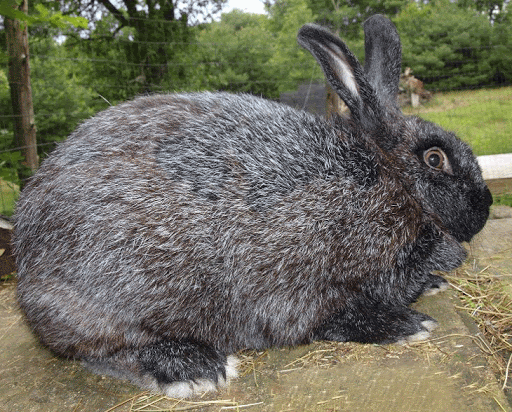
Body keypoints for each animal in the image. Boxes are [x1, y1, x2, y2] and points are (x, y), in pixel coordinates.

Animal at [12, 14, 492, 398]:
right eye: (435, 159)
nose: (485, 206)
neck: (387, 181)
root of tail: (24, 269)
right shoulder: (302, 284)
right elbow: (334, 318)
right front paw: (408, 325)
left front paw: (433, 284)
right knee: (101, 350)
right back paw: (194, 369)